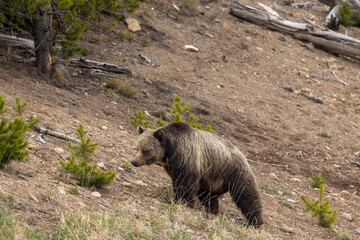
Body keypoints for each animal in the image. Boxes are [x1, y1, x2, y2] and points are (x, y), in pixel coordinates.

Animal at [131, 122, 262, 227]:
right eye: (137, 148)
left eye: (145, 150)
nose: (134, 161)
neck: (172, 150)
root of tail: (243, 155)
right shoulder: (172, 165)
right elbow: (178, 181)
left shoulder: (188, 157)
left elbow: (186, 182)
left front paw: (182, 201)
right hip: (210, 177)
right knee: (207, 194)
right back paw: (212, 209)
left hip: (234, 171)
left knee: (247, 194)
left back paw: (255, 221)